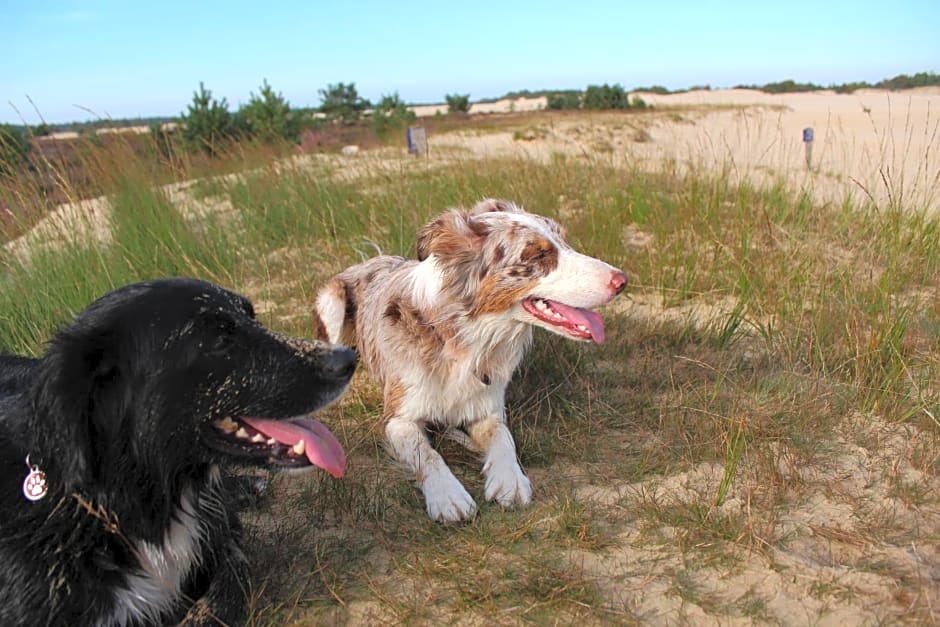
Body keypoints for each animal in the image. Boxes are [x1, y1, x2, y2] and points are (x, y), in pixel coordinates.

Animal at [312, 201, 628, 524]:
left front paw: (510, 480)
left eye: (566, 242)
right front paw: (448, 496)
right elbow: (427, 453)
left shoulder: (487, 408)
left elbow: (503, 437)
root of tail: (371, 259)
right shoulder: (398, 419)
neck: (460, 340)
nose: (622, 281)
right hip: (332, 302)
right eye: (537, 255)